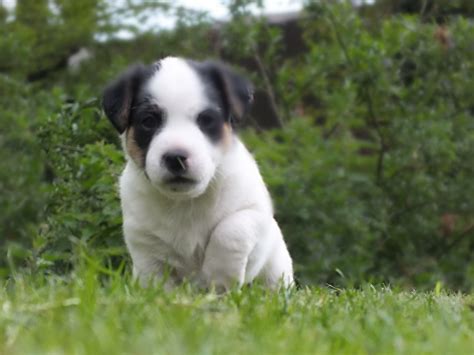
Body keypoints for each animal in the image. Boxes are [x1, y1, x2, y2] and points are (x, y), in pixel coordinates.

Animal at [103, 57, 292, 290]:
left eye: (206, 120)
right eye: (148, 121)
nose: (175, 157)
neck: (186, 203)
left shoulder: (255, 213)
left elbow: (230, 230)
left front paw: (219, 277)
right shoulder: (144, 241)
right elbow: (155, 280)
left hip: (276, 269)